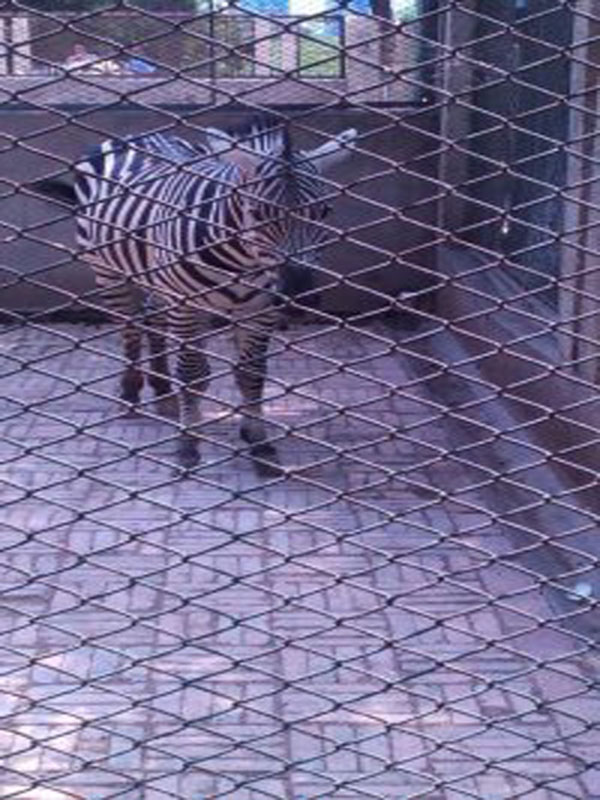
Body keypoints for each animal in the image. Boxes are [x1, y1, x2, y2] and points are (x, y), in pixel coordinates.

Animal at [34, 117, 357, 474]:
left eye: (324, 212)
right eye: (258, 213)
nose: (299, 299)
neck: (243, 261)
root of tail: (136, 135)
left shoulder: (260, 309)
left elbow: (251, 374)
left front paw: (259, 442)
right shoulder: (188, 304)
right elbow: (192, 372)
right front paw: (188, 443)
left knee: (155, 321)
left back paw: (163, 389)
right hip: (110, 271)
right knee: (130, 328)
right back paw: (132, 391)